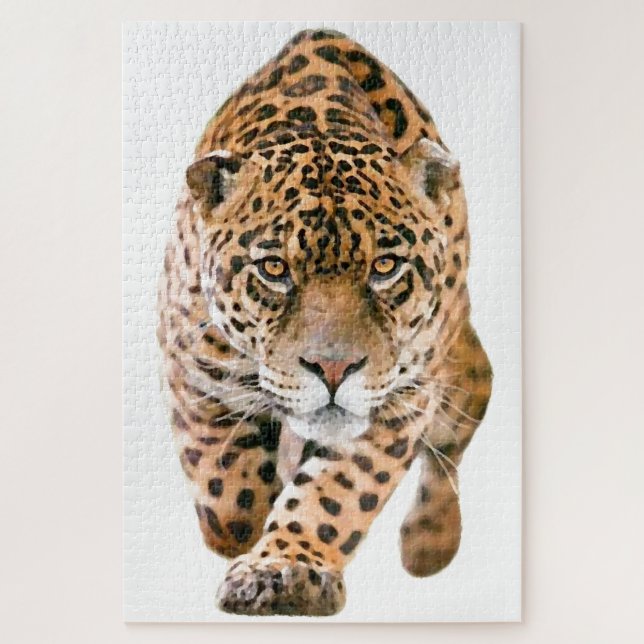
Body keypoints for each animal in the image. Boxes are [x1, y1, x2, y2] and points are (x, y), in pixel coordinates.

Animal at [157, 28, 492, 617]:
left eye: (385, 267)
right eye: (274, 269)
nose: (333, 370)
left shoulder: (399, 400)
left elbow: (336, 493)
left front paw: (286, 570)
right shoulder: (194, 372)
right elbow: (228, 503)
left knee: (464, 416)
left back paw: (429, 542)